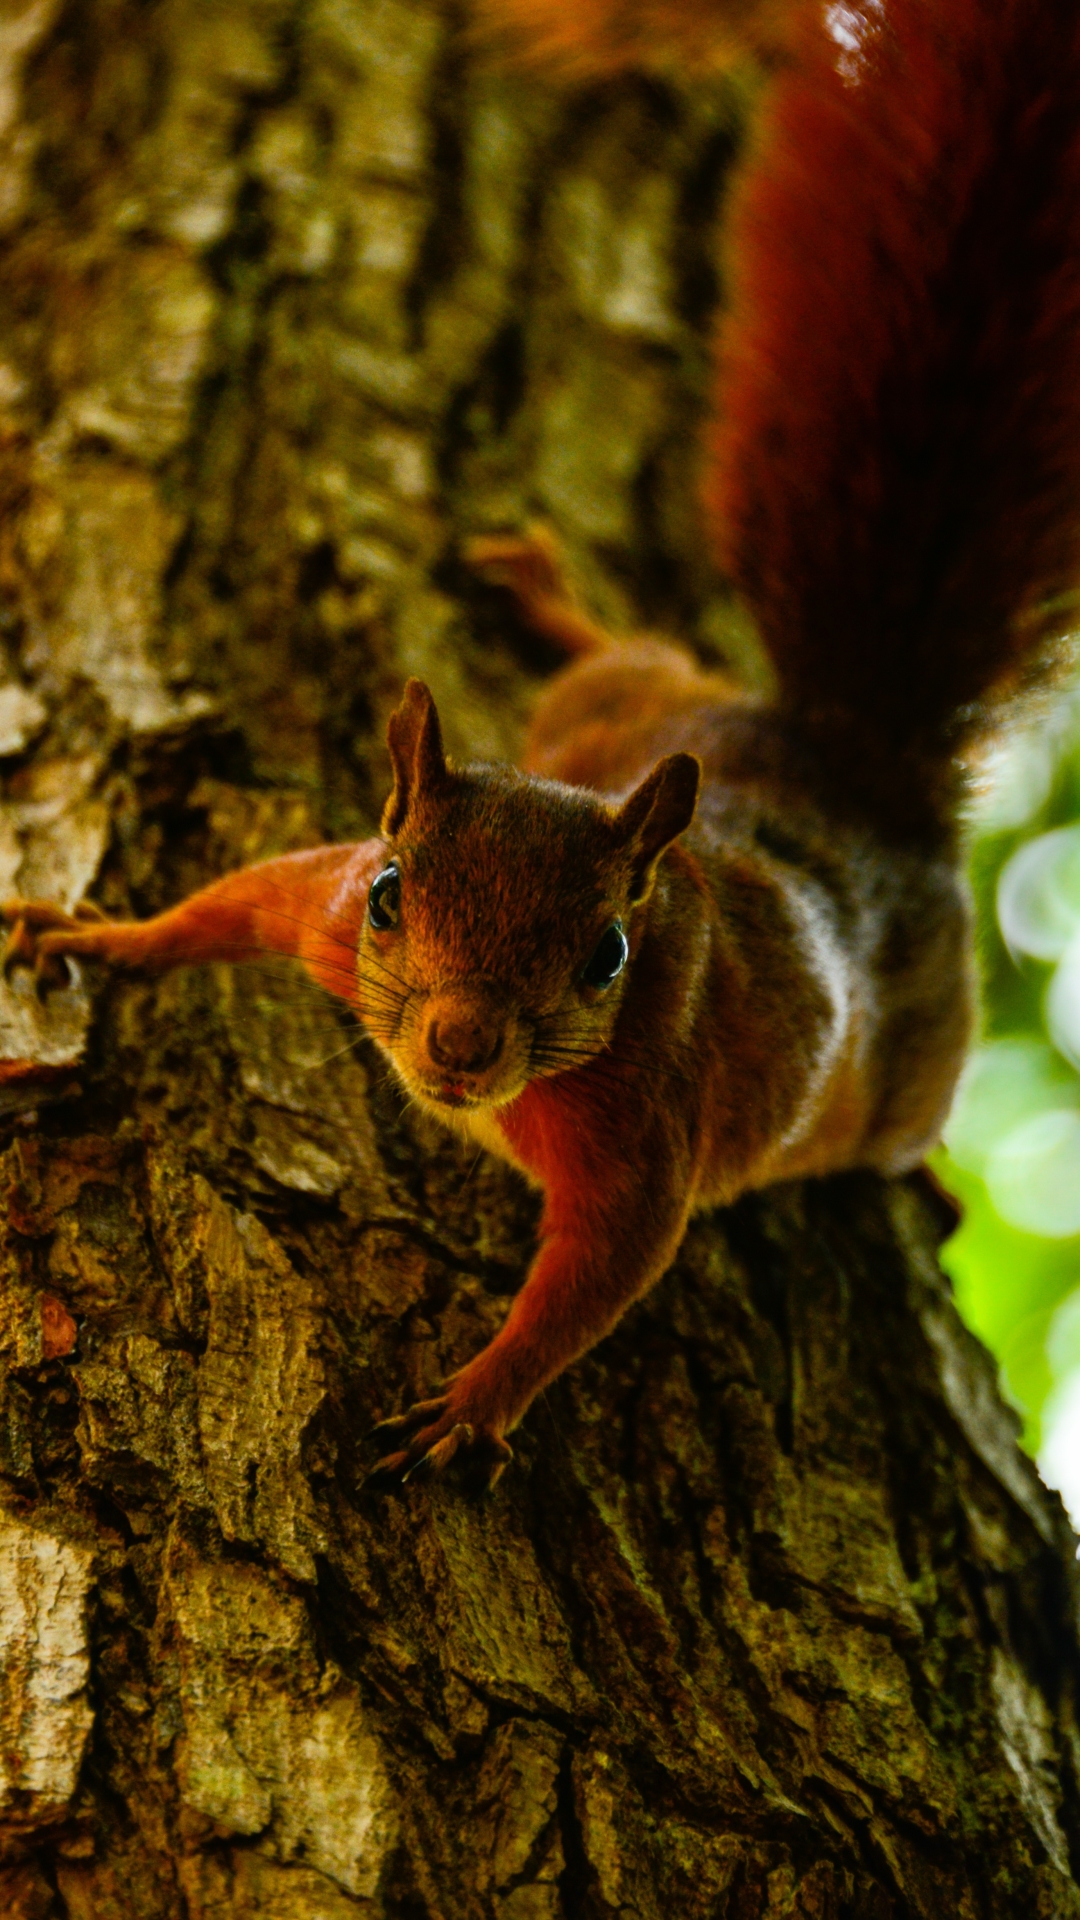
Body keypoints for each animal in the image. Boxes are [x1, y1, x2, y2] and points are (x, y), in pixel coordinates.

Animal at [2, 0, 1076, 1482]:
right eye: (394, 896)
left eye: (607, 956)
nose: (459, 1048)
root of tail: (848, 757)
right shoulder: (321, 901)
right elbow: (229, 903)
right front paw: (100, 937)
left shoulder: (646, 1131)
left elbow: (597, 1281)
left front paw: (474, 1401)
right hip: (620, 703)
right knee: (626, 651)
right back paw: (542, 595)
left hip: (917, 1058)